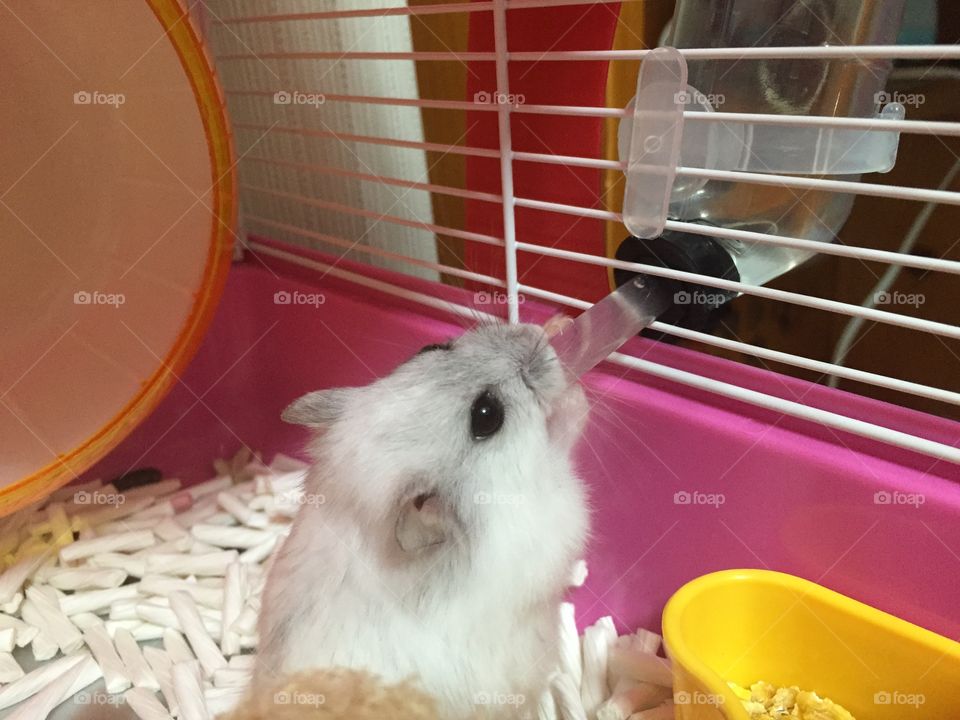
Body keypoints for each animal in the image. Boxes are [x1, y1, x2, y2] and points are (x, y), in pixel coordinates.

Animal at [256, 322, 590, 719]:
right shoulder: (546, 523)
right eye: (487, 415)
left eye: (430, 347)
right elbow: (561, 456)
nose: (532, 331)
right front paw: (577, 398)